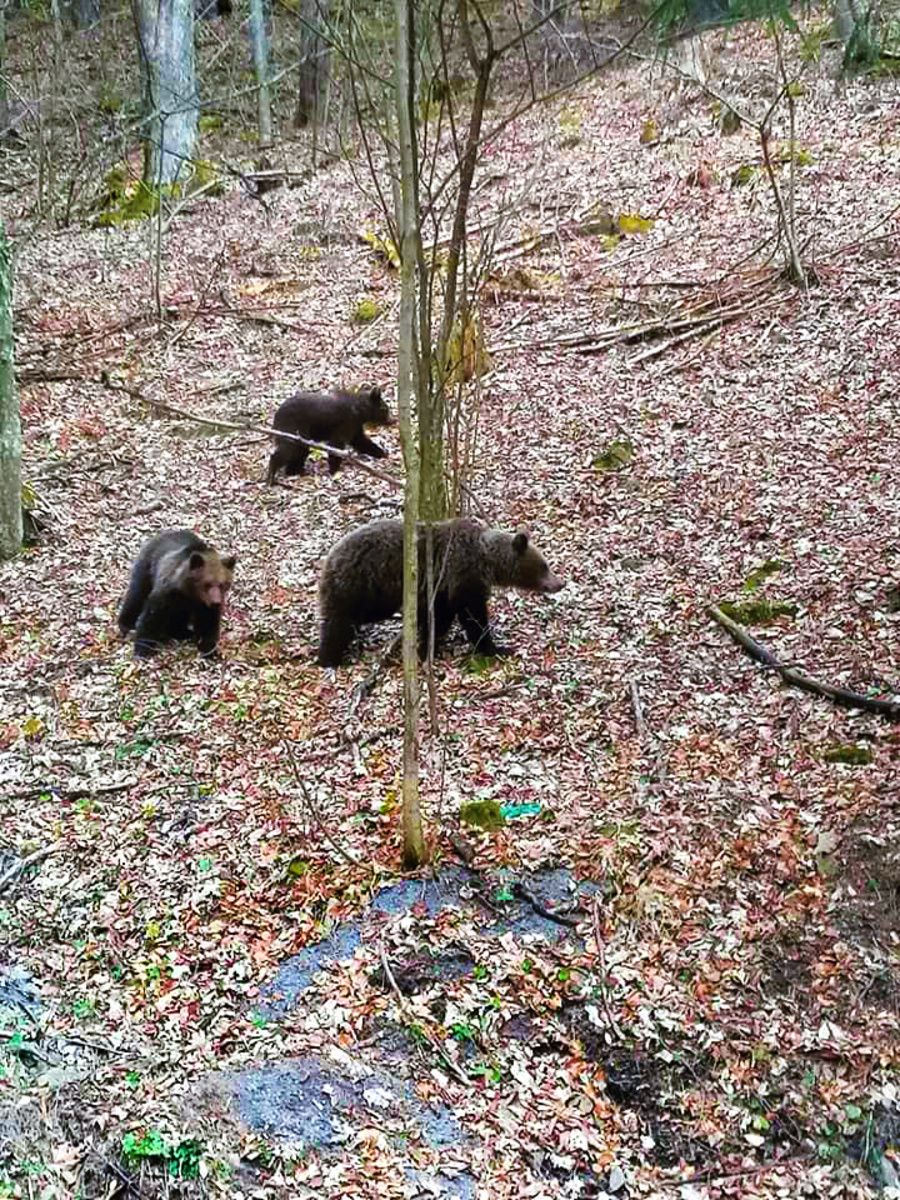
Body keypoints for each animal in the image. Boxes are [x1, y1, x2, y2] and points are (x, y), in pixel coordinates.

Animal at [118, 532, 236, 662]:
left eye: (223, 584)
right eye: (207, 583)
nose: (216, 602)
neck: (190, 592)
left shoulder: (203, 606)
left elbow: (208, 623)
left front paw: (209, 650)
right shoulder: (167, 592)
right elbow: (152, 616)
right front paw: (143, 649)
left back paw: (183, 631)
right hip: (147, 568)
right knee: (137, 595)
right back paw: (126, 624)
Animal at [316, 516, 564, 667]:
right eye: (544, 565)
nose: (559, 583)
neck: (487, 561)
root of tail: (329, 558)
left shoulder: (442, 588)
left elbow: (438, 616)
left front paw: (427, 644)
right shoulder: (462, 576)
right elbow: (472, 617)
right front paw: (496, 648)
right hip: (360, 583)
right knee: (337, 623)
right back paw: (329, 658)